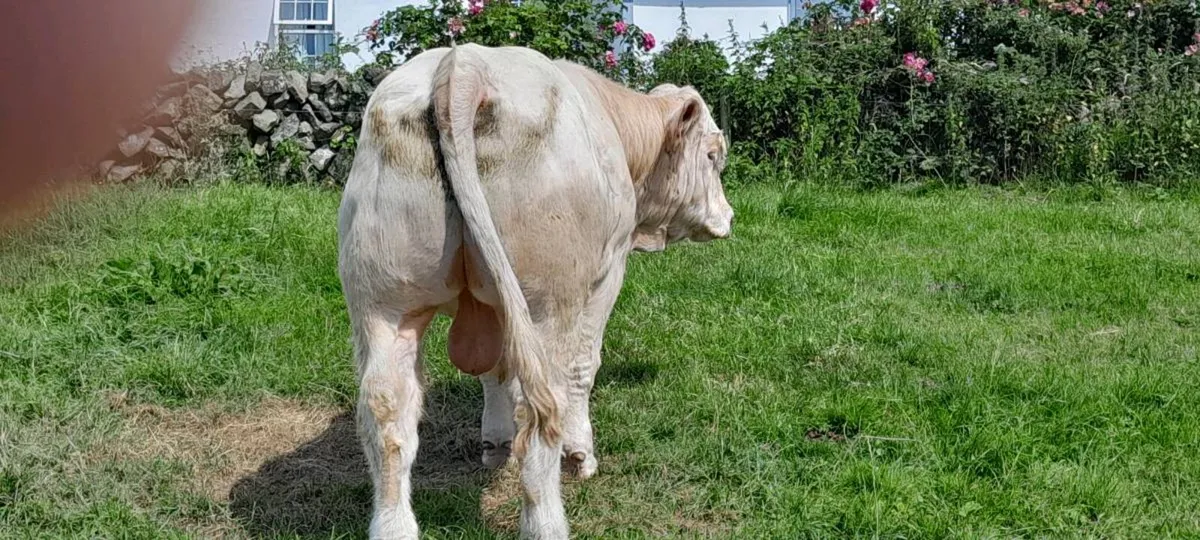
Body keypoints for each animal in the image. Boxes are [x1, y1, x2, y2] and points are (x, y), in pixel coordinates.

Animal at [336, 42, 734, 539]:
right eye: (713, 155)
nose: (729, 215)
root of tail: (462, 65)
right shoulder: (607, 272)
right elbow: (584, 365)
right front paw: (580, 455)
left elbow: (494, 370)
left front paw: (494, 443)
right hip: (548, 303)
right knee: (540, 407)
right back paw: (546, 519)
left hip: (384, 304)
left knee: (387, 412)